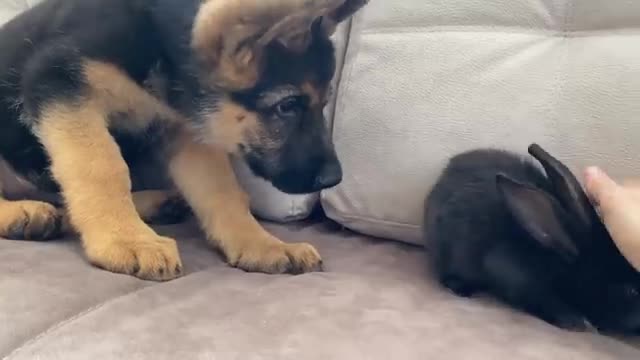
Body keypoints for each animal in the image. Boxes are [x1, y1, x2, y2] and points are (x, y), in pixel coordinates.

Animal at [0, 0, 370, 282]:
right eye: (287, 106)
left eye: (324, 102)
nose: (333, 179)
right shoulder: (60, 83)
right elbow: (103, 167)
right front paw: (127, 239)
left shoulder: (185, 129)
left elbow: (222, 191)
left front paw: (262, 244)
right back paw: (23, 213)